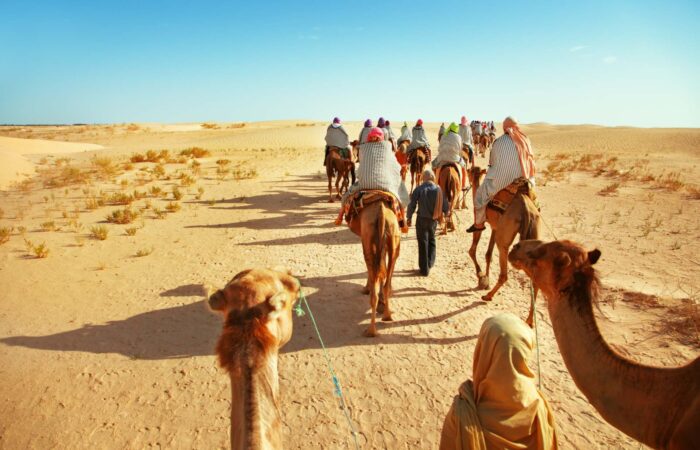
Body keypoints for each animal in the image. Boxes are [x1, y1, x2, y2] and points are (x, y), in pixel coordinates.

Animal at [466, 165, 540, 319]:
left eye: (470, 171)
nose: (468, 173)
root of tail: (526, 209)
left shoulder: (480, 221)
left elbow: (472, 250)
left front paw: (481, 277)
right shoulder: (495, 228)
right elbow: (488, 254)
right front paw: (486, 280)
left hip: (504, 239)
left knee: (504, 273)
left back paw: (488, 296)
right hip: (532, 232)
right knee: (535, 280)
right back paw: (529, 320)